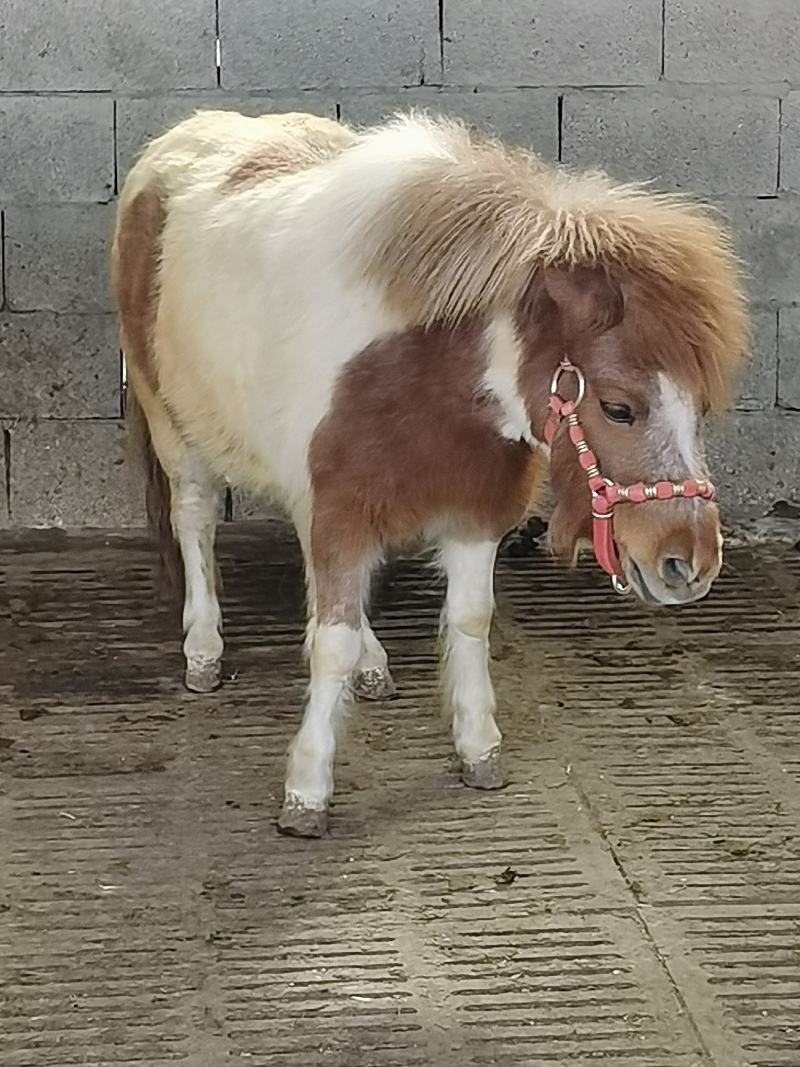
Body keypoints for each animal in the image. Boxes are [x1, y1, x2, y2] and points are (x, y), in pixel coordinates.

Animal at [113, 109, 748, 837]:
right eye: (619, 407)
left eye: (702, 406)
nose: (688, 563)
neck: (428, 372)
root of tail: (182, 137)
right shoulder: (341, 510)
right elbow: (327, 643)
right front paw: (307, 791)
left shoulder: (467, 513)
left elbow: (470, 620)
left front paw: (479, 748)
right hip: (174, 427)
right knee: (194, 520)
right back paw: (204, 650)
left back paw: (371, 663)